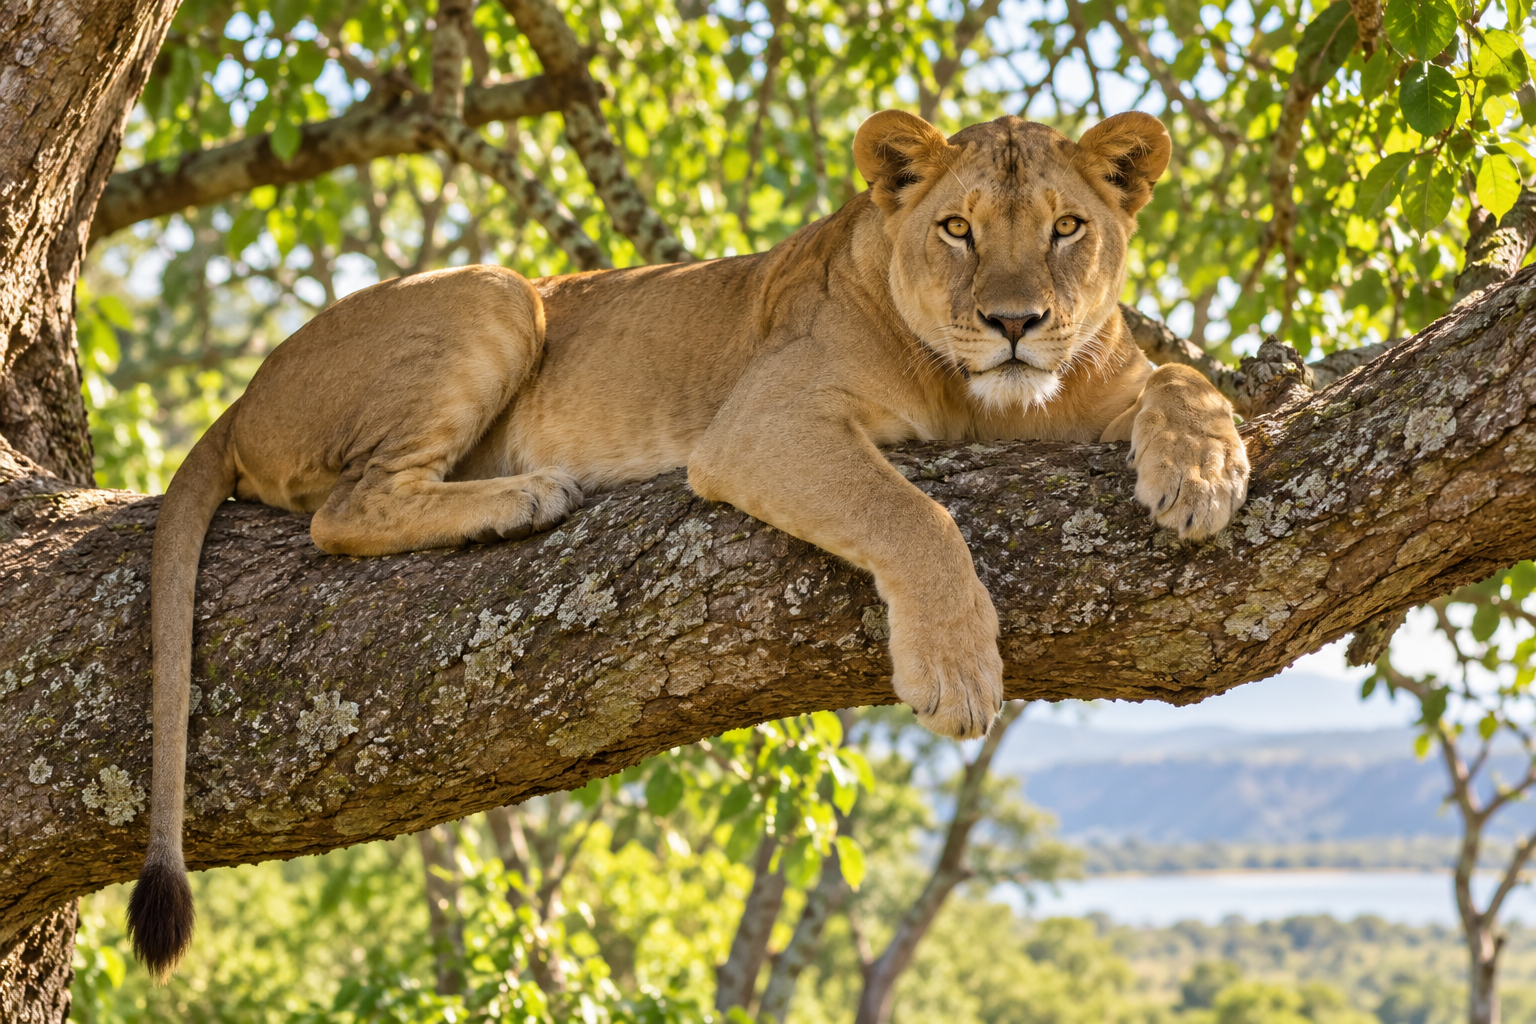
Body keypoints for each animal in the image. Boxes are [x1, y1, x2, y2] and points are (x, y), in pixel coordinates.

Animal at [129, 109, 1249, 977]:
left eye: (1067, 228)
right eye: (958, 229)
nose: (1016, 322)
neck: (990, 400)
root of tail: (242, 397)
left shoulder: (1092, 386)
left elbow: (1183, 378)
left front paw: (1203, 474)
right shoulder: (763, 423)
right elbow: (914, 514)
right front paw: (957, 672)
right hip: (497, 292)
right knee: (348, 508)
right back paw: (525, 495)